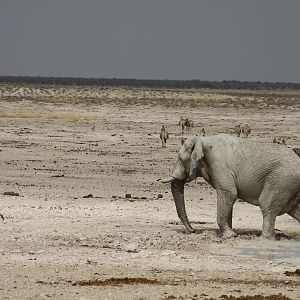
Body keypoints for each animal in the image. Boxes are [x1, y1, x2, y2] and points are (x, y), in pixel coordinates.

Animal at [162, 134, 300, 239]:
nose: (193, 230)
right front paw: (229, 233)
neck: (201, 139)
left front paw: (229, 236)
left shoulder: (219, 165)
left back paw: (264, 239)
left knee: (267, 205)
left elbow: (229, 193)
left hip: (281, 180)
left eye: (181, 159)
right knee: (295, 210)